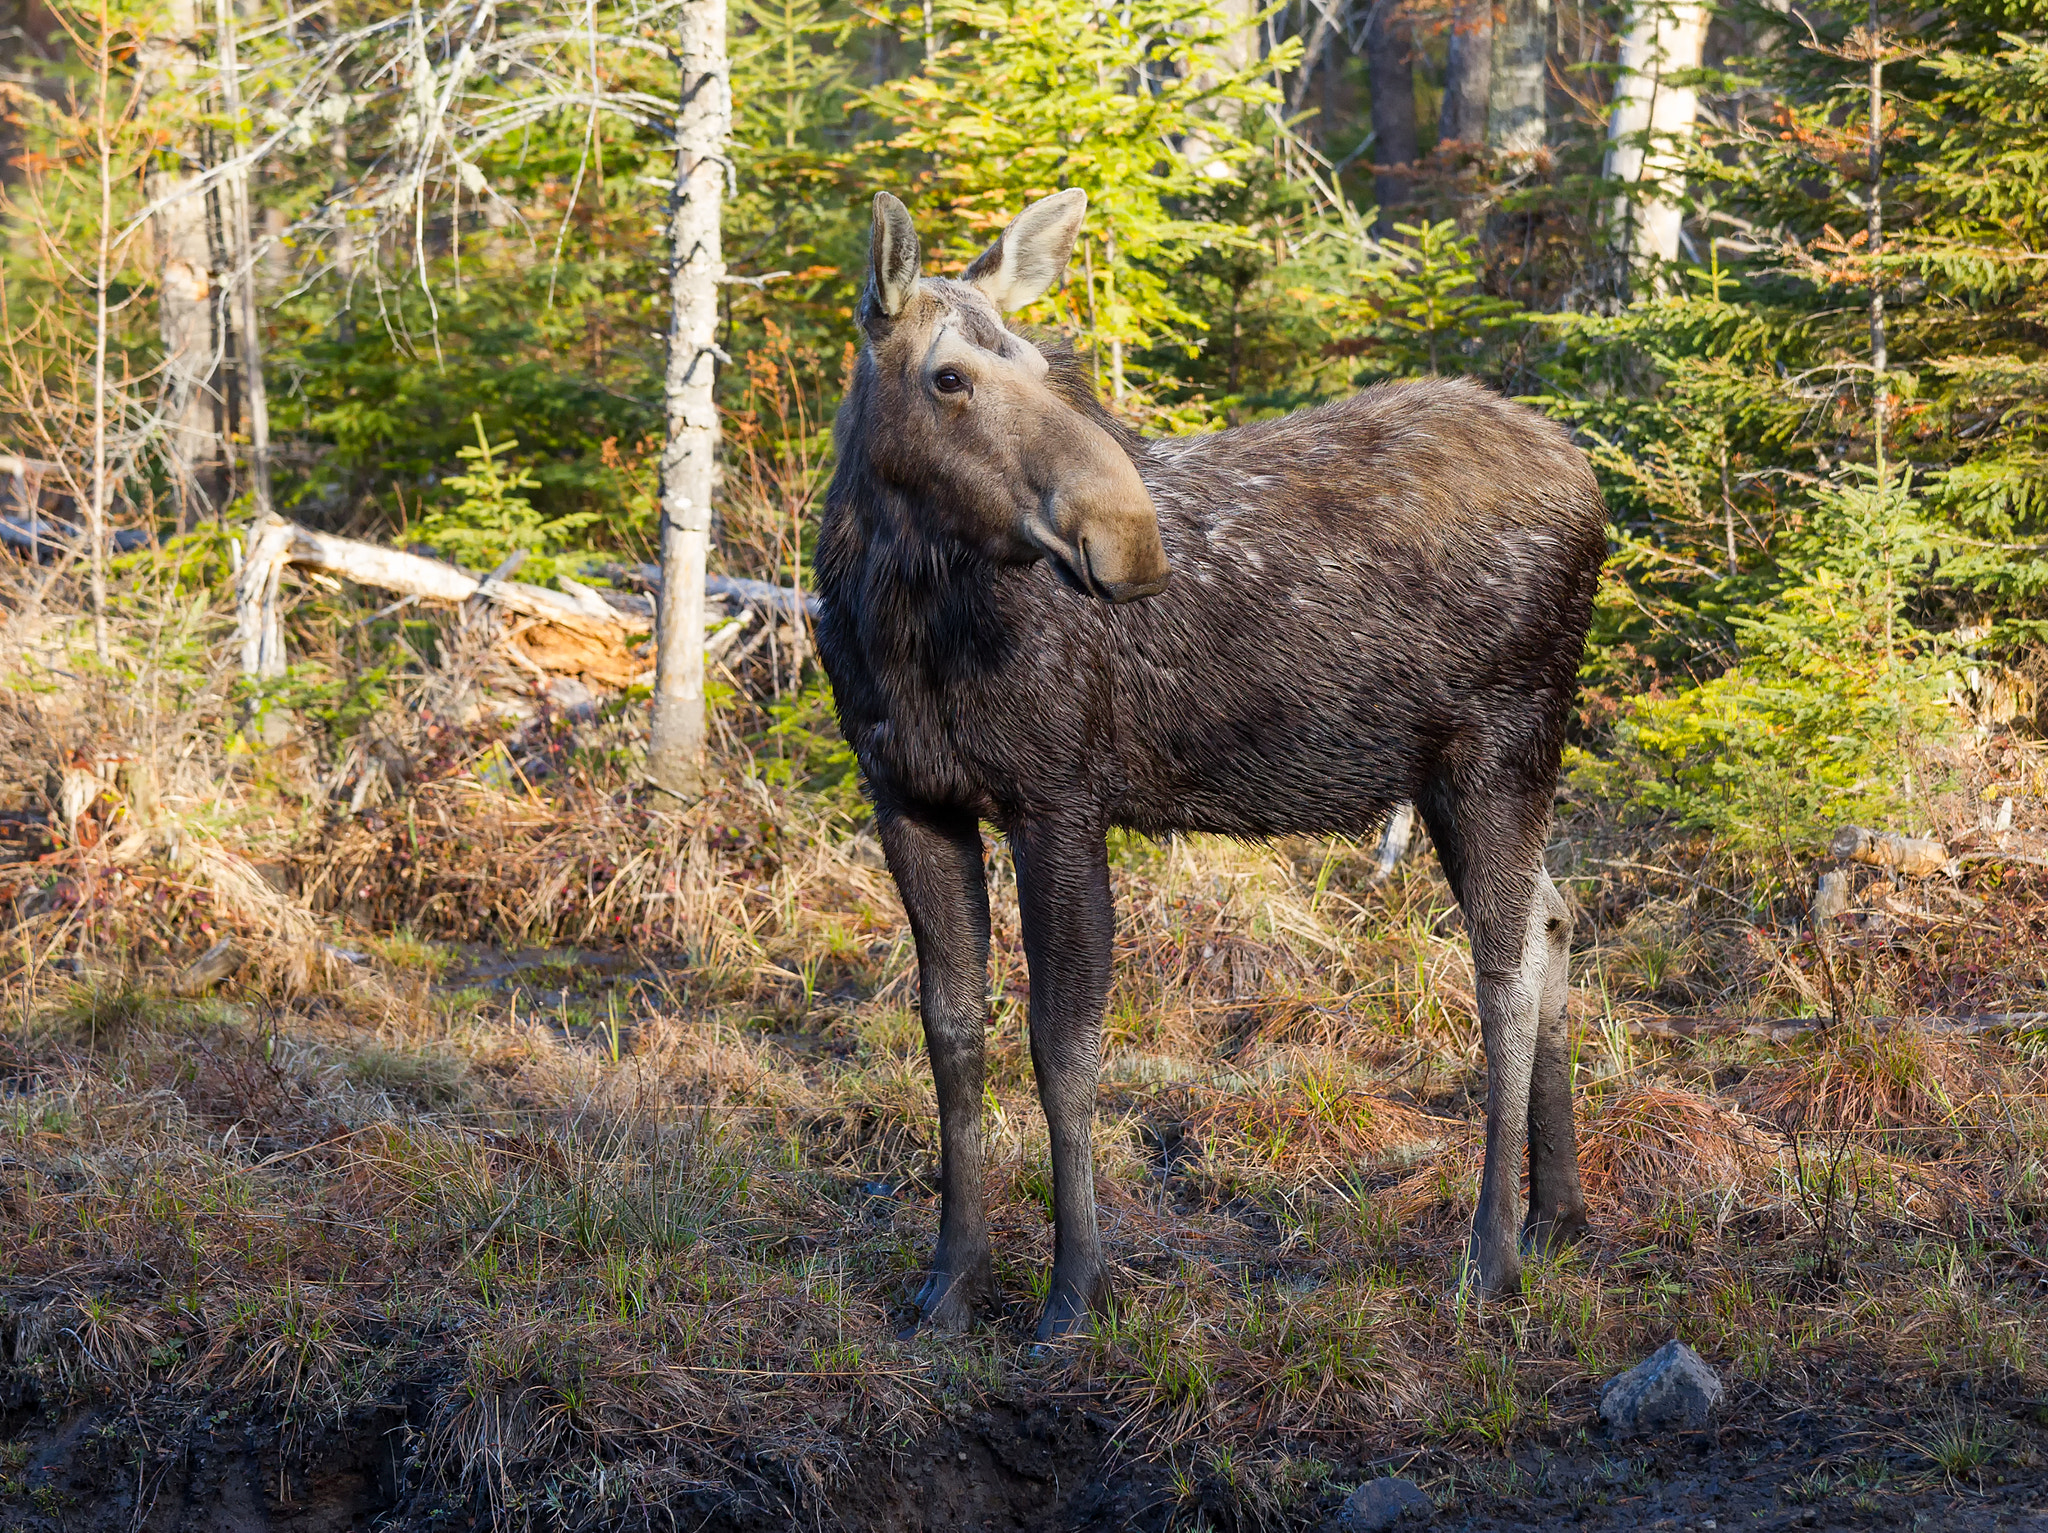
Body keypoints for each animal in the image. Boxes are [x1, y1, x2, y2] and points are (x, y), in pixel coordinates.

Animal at [812, 189, 1609, 1342]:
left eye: (1048, 364)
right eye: (947, 376)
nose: (1126, 538)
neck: (897, 620)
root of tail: (1592, 486)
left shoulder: (1059, 793)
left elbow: (1065, 1042)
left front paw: (1073, 1290)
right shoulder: (908, 798)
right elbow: (951, 1031)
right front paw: (949, 1282)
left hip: (1500, 748)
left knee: (1501, 969)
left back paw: (1490, 1255)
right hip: (1467, 772)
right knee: (1553, 916)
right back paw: (1560, 1215)